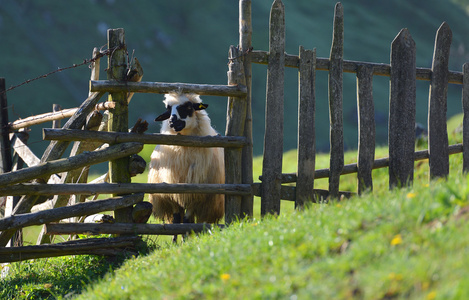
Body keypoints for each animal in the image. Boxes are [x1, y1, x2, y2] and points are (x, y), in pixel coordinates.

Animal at [148, 92, 225, 229]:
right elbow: (176, 219)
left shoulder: (195, 194)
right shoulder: (170, 192)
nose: (172, 122)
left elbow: (187, 220)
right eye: (168, 109)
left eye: (188, 107)